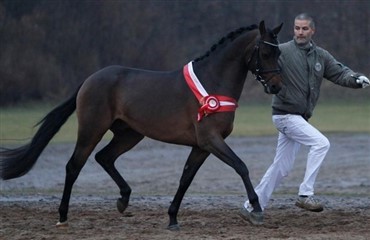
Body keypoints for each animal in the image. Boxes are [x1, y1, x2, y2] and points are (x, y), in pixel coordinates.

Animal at [0, 21, 284, 231]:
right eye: (266, 53)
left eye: (279, 52)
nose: (276, 86)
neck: (212, 81)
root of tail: (90, 79)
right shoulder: (210, 139)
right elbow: (241, 166)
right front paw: (256, 210)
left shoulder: (201, 146)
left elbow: (186, 178)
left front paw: (172, 218)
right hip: (92, 130)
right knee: (74, 166)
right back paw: (63, 216)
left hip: (130, 135)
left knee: (104, 157)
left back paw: (123, 199)